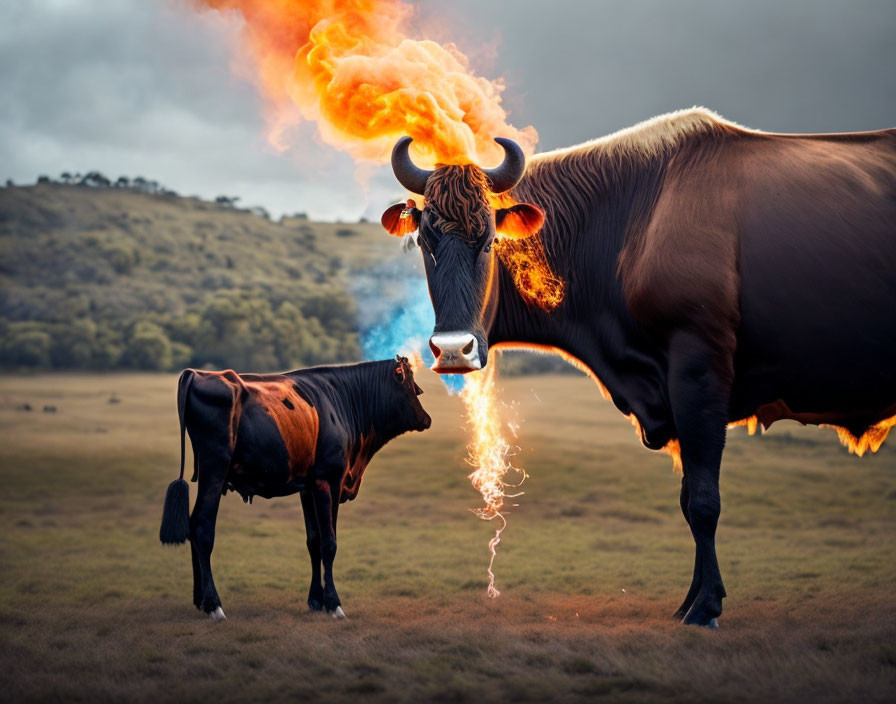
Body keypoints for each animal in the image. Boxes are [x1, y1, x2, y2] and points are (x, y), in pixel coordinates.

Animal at [159, 358, 432, 620]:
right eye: (412, 387)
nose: (427, 418)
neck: (342, 402)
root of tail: (196, 373)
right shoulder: (328, 482)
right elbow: (329, 543)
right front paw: (334, 604)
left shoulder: (307, 487)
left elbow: (313, 541)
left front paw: (316, 600)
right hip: (214, 468)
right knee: (202, 526)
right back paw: (214, 605)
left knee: (193, 523)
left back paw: (200, 601)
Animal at [380, 110, 896, 628]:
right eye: (425, 241)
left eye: (488, 239)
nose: (453, 350)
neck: (630, 222)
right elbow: (688, 499)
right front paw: (691, 599)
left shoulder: (698, 374)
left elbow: (704, 501)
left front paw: (706, 607)